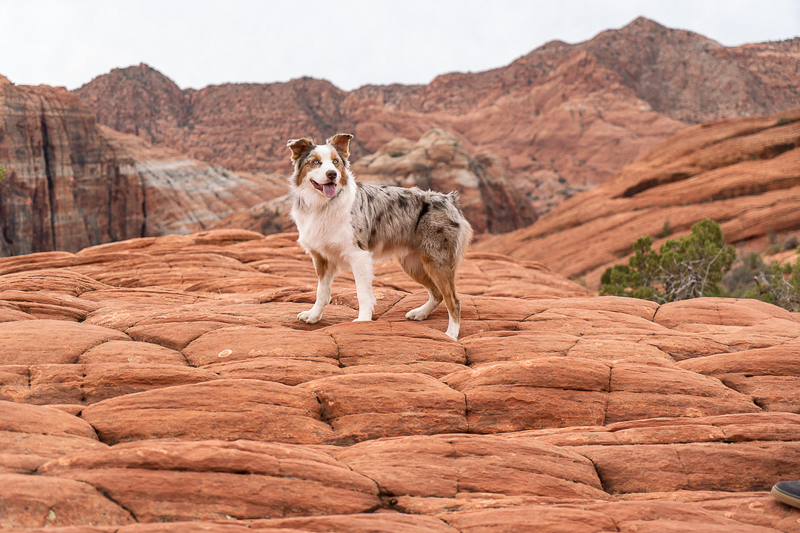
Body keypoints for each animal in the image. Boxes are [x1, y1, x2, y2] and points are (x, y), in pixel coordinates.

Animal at [288, 135, 476, 338]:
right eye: (315, 162)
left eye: (336, 162)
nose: (332, 174)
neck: (324, 204)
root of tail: (449, 199)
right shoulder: (321, 257)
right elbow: (321, 292)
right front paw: (313, 316)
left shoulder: (359, 255)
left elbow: (363, 293)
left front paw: (362, 321)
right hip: (413, 264)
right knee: (438, 293)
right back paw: (420, 313)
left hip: (436, 261)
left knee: (453, 299)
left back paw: (451, 335)